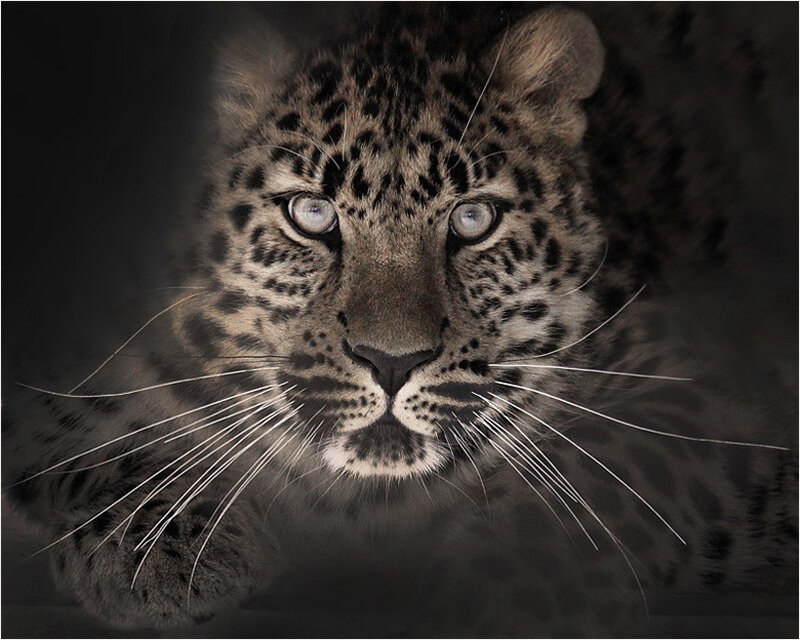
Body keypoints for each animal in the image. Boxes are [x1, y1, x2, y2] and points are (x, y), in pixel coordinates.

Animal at [3, 3, 797, 636]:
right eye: (311, 213)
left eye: (473, 220)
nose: (392, 362)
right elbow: (99, 446)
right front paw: (167, 550)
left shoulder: (719, 379)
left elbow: (609, 474)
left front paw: (512, 594)